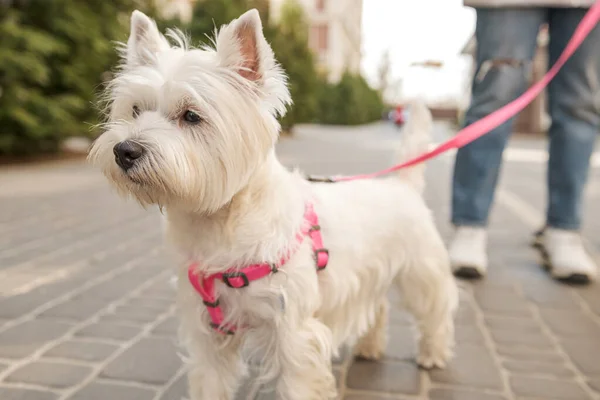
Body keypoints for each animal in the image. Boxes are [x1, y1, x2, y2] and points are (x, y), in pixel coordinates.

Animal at [89, 9, 458, 400]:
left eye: (191, 115)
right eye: (135, 110)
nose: (124, 151)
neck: (218, 225)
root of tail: (401, 184)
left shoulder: (293, 332)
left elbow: (297, 382)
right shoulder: (206, 332)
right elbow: (210, 381)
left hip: (421, 270)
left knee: (435, 308)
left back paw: (432, 354)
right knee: (379, 306)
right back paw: (370, 347)